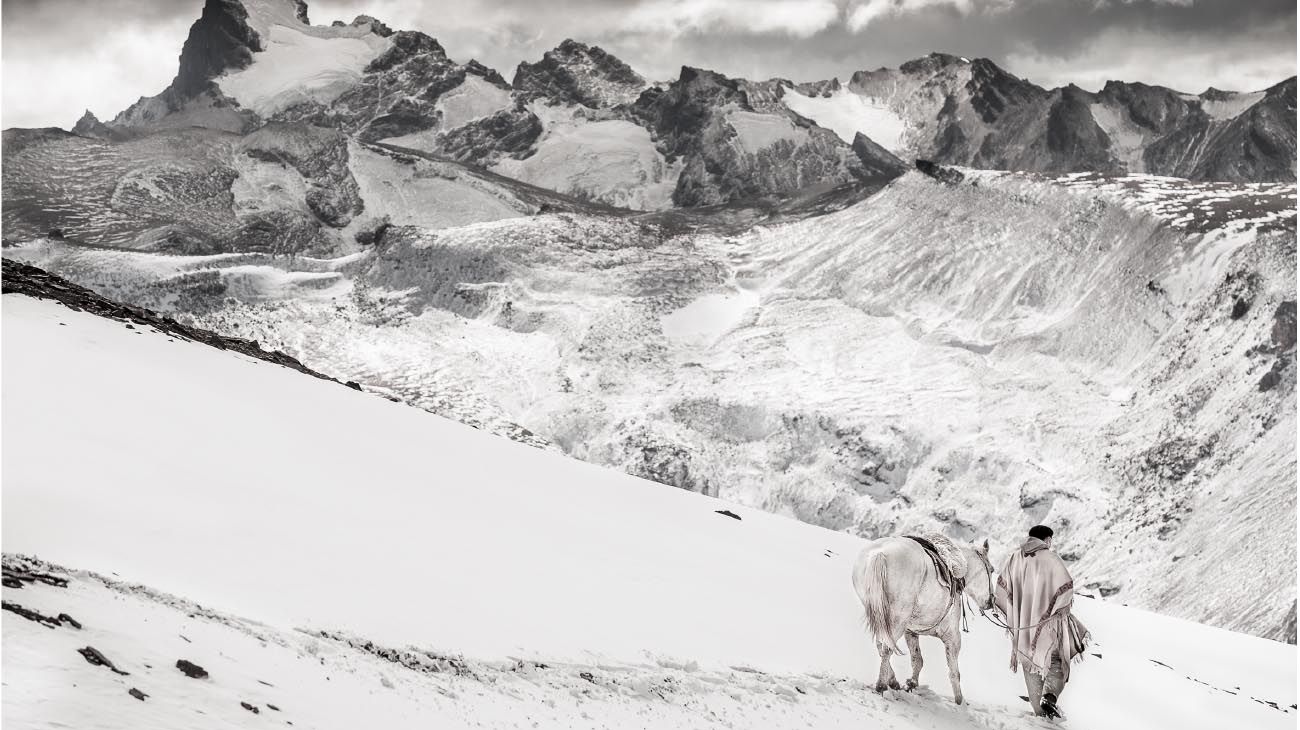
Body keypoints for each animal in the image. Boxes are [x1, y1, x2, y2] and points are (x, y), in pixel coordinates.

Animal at [852, 532, 993, 701]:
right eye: (992, 570)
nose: (991, 601)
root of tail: (878, 554)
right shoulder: (953, 636)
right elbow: (954, 671)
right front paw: (960, 701)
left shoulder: (911, 631)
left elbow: (917, 659)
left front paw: (911, 683)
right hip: (897, 620)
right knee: (886, 648)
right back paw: (881, 685)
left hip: (882, 617)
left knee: (882, 646)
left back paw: (892, 681)